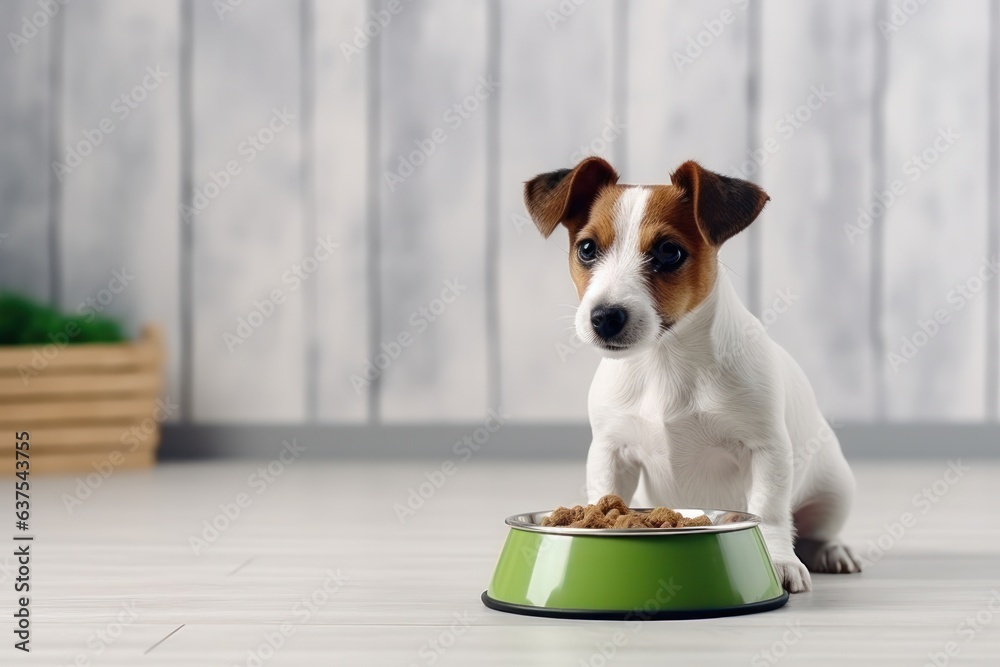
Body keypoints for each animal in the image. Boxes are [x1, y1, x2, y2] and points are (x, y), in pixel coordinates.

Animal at [528, 158, 864, 596]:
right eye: (587, 249)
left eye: (668, 251)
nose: (603, 317)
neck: (664, 361)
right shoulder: (610, 451)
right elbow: (604, 497)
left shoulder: (767, 449)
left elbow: (769, 511)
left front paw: (777, 560)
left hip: (833, 493)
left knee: (814, 531)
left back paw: (831, 551)